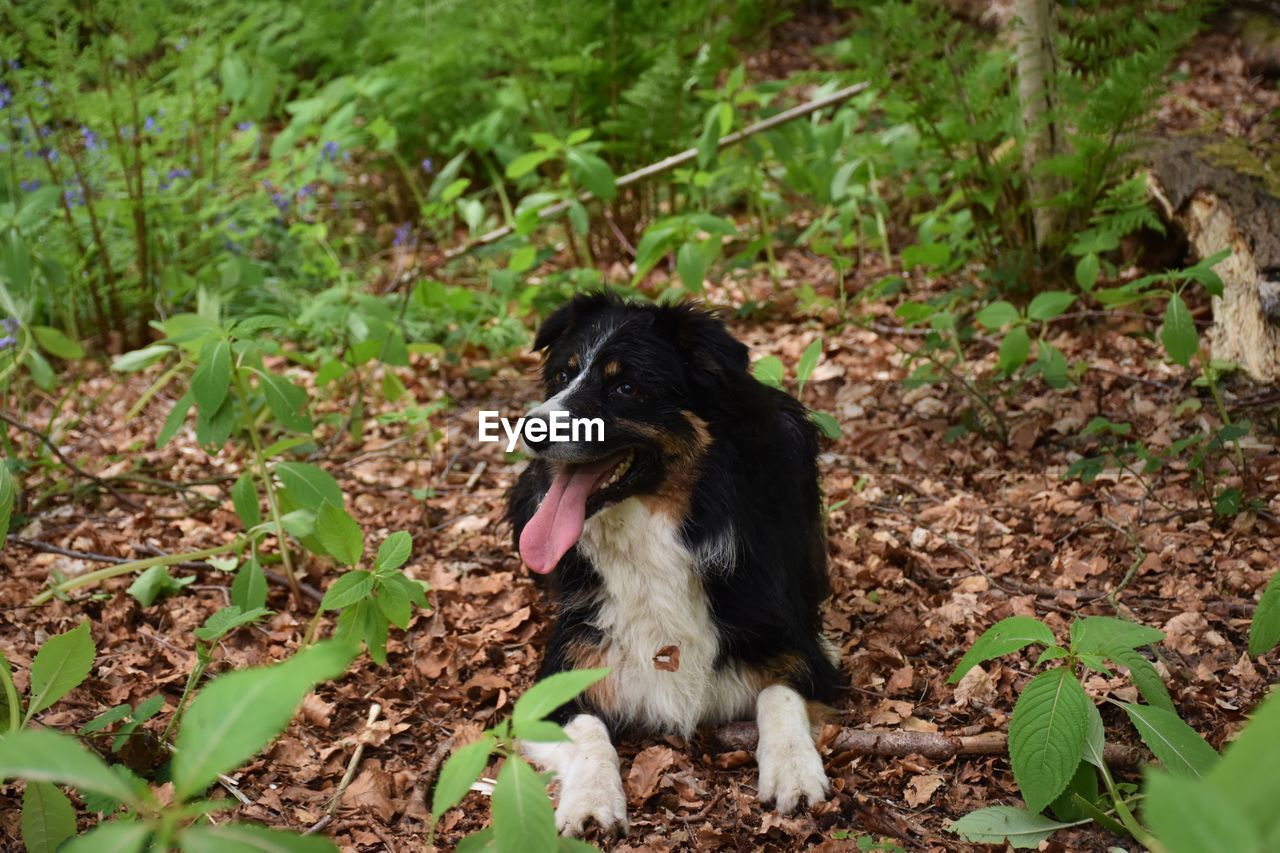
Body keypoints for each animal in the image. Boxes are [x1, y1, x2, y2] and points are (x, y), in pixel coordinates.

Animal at [504, 290, 844, 829]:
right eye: (562, 375)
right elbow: (587, 733)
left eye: (625, 387)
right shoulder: (561, 672)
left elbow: (779, 694)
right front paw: (591, 801)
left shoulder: (802, 648)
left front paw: (794, 772)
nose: (529, 428)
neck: (657, 532)